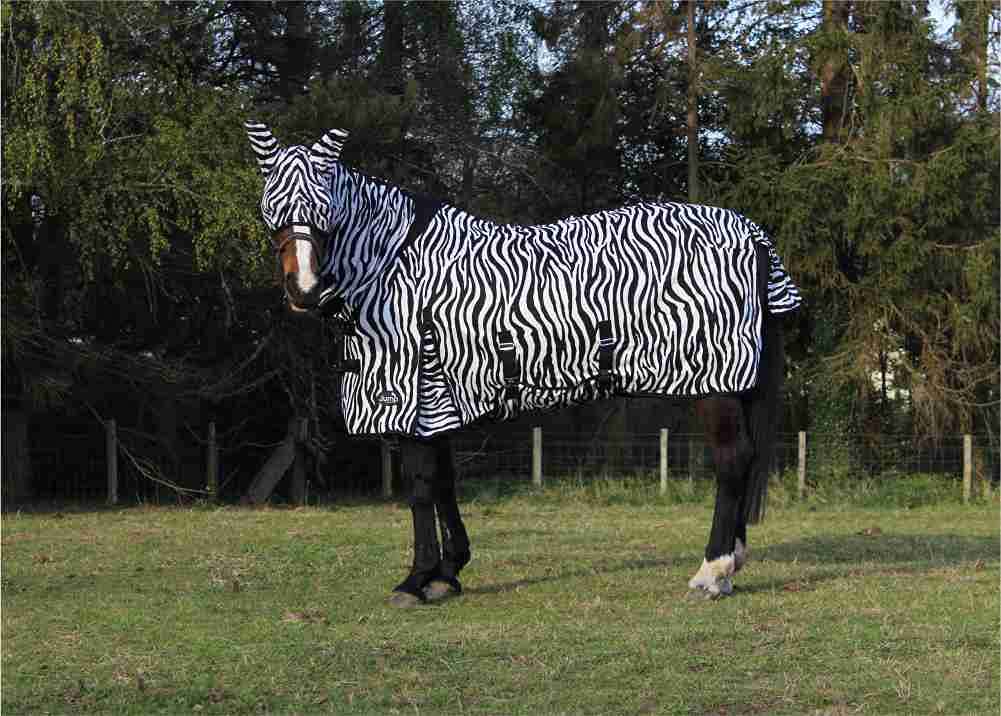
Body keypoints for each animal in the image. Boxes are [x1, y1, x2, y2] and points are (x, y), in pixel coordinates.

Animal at [245, 123, 800, 603]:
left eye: (325, 208)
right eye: (271, 207)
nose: (304, 289)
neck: (398, 266)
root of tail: (751, 234)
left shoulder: (411, 397)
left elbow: (420, 487)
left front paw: (416, 579)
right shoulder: (438, 400)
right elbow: (444, 483)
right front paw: (447, 573)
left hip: (715, 385)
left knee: (732, 460)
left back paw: (713, 570)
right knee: (744, 460)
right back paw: (732, 565)